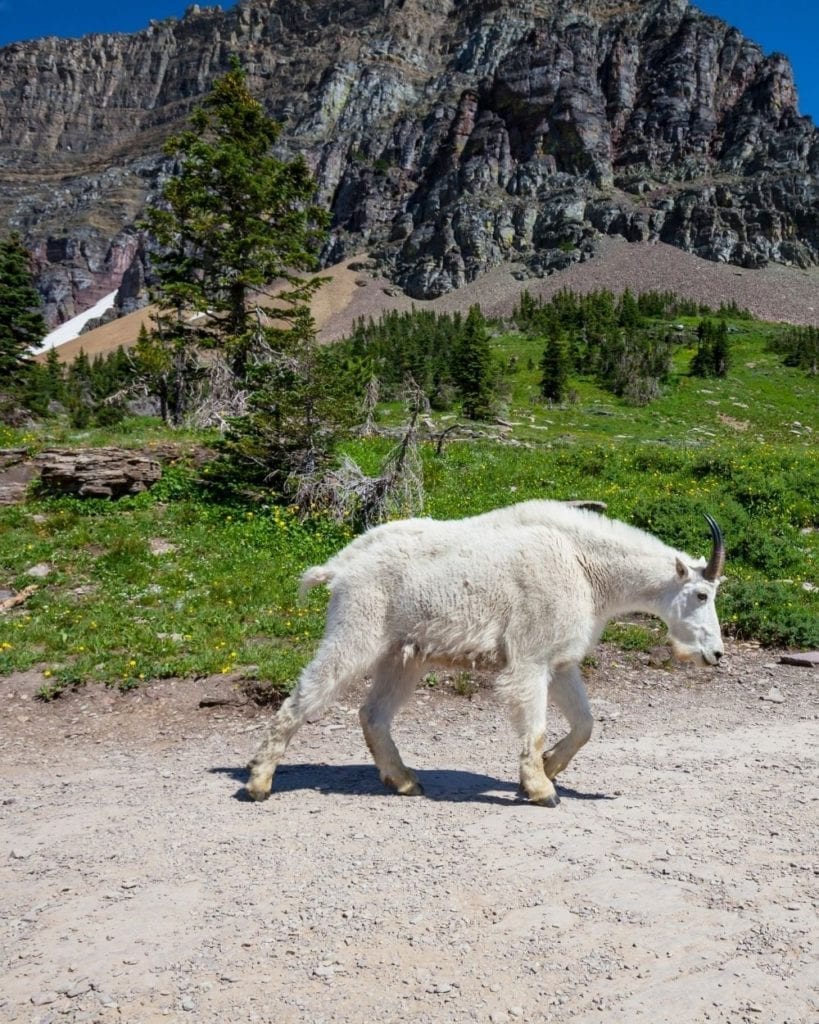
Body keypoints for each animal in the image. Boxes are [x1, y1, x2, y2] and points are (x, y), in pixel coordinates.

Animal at [244, 501, 724, 806]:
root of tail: (340, 565)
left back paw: (405, 781)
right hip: (356, 631)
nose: (716, 654)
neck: (585, 566)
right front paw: (541, 790)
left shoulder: (560, 661)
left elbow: (586, 724)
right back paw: (258, 782)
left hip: (403, 655)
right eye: (702, 594)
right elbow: (534, 725)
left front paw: (549, 768)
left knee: (373, 714)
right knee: (304, 697)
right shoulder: (530, 658)